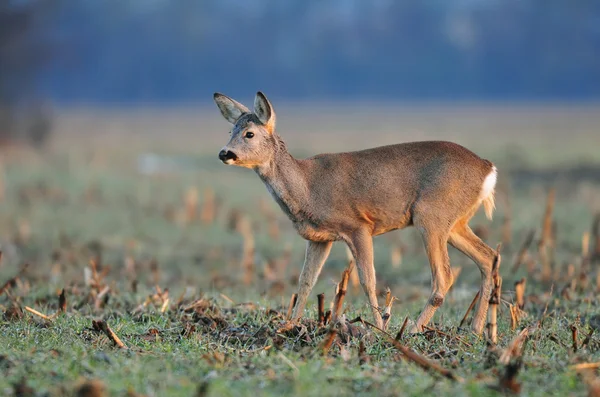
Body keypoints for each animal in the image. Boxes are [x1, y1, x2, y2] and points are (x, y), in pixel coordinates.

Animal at [212, 91, 496, 332]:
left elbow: (368, 280)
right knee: (488, 257)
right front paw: (289, 326)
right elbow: (306, 282)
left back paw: (414, 330)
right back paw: (477, 331)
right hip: (455, 223)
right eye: (230, 130)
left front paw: (379, 329)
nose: (225, 153)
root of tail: (488, 168)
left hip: (431, 215)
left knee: (444, 276)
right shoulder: (320, 238)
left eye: (249, 133)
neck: (306, 186)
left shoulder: (359, 226)